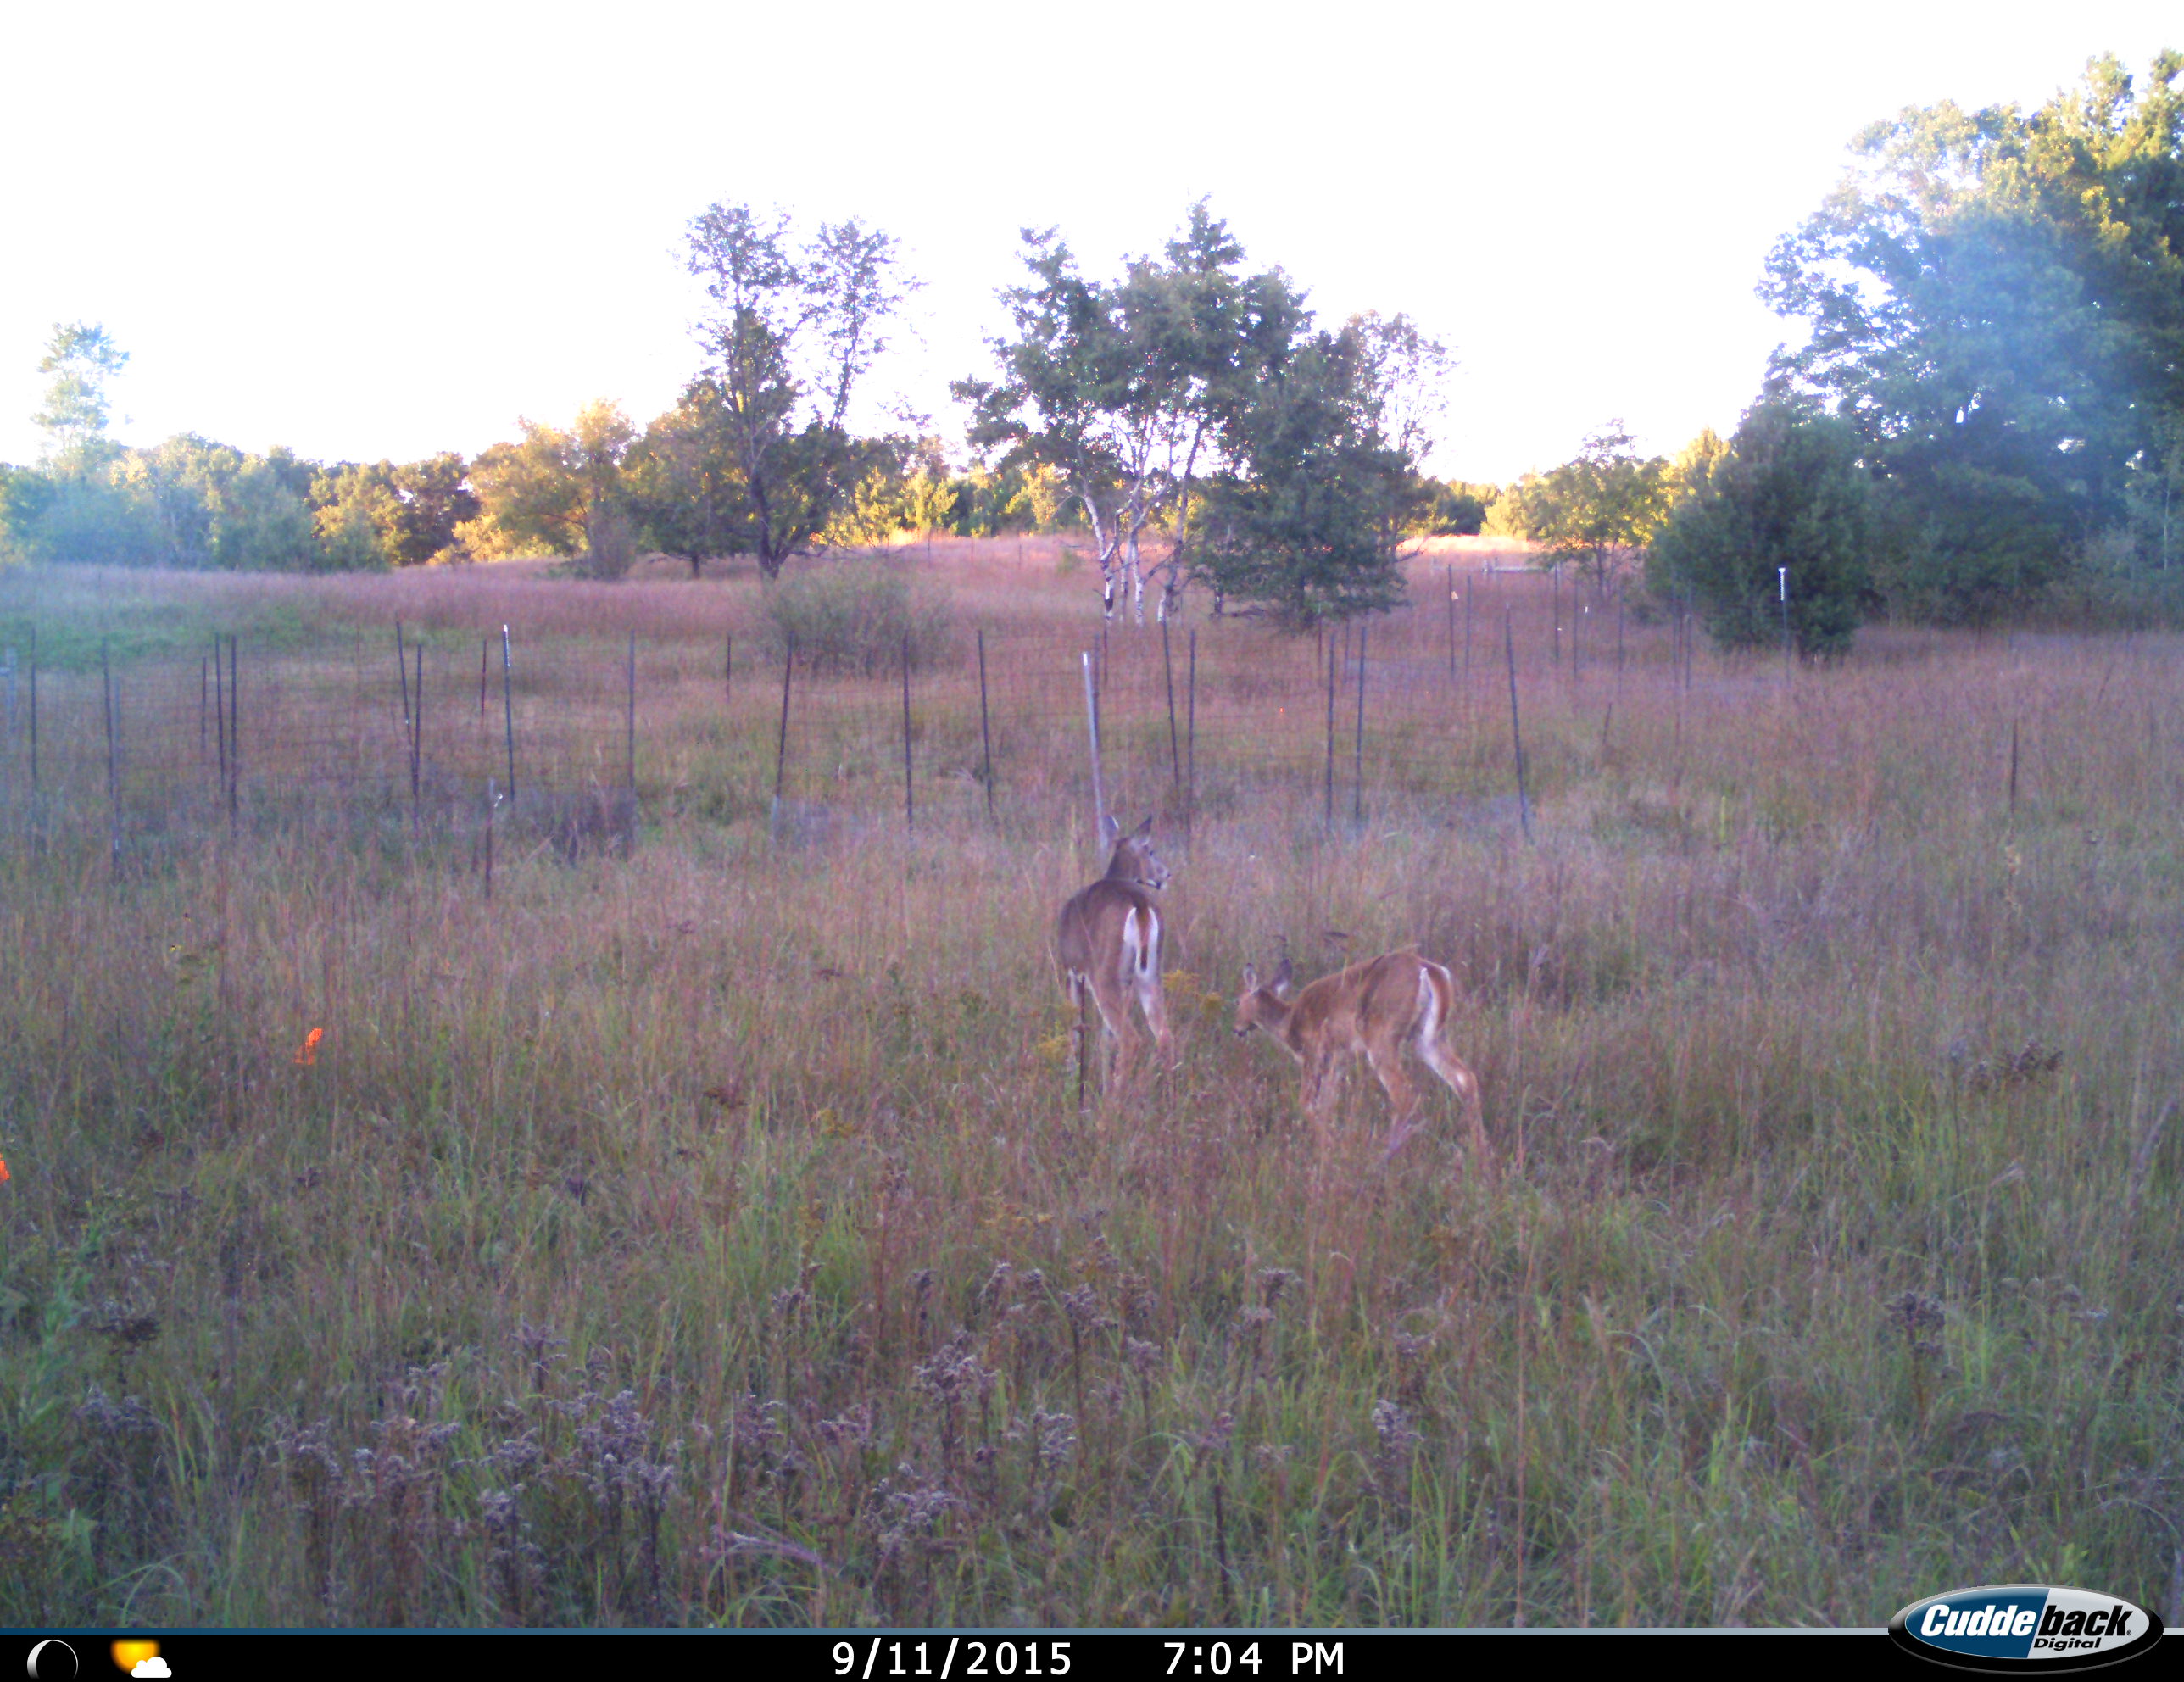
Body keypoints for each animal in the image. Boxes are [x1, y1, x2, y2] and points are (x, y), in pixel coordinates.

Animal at [1056, 815, 1176, 1107]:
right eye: (1151, 850)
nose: (1166, 874)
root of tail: (1140, 904)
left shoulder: (1071, 971)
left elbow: (1075, 1031)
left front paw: (1072, 1087)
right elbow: (1103, 1040)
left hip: (1104, 974)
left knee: (1130, 1039)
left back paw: (1113, 1108)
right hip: (1148, 975)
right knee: (1164, 1035)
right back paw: (1170, 1104)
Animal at [1233, 945, 1487, 1165]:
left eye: (1238, 1000)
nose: (1237, 1029)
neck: (1289, 1022)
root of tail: (1428, 969)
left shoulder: (1313, 1055)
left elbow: (1307, 1103)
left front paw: (1330, 1146)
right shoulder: (1336, 1062)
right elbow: (1326, 1105)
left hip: (1381, 1036)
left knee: (1405, 1095)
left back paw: (1385, 1157)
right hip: (1428, 1038)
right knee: (1465, 1079)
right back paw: (1479, 1155)